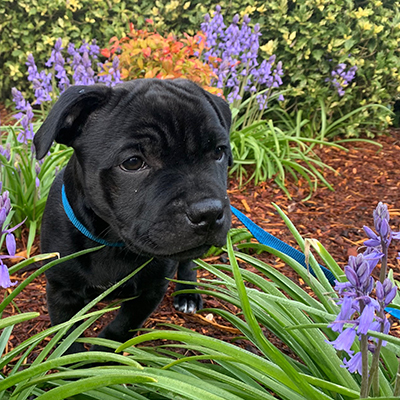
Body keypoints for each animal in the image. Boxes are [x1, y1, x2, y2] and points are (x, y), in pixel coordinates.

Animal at [34, 79, 234, 354]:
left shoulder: (151, 290)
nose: (209, 211)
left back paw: (187, 293)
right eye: (132, 162)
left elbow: (122, 327)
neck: (110, 241)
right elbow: (66, 341)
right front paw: (76, 363)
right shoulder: (61, 292)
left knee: (188, 262)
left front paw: (103, 355)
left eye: (219, 152)